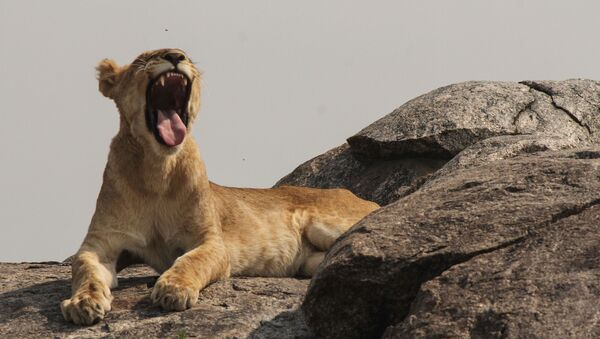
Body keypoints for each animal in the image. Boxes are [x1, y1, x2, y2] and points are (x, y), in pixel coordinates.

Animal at [61, 48, 380, 326]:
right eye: (143, 58)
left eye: (186, 55)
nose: (176, 56)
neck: (157, 170)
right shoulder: (102, 243)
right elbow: (84, 268)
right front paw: (82, 303)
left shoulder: (211, 241)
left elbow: (191, 261)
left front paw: (173, 289)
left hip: (327, 224)